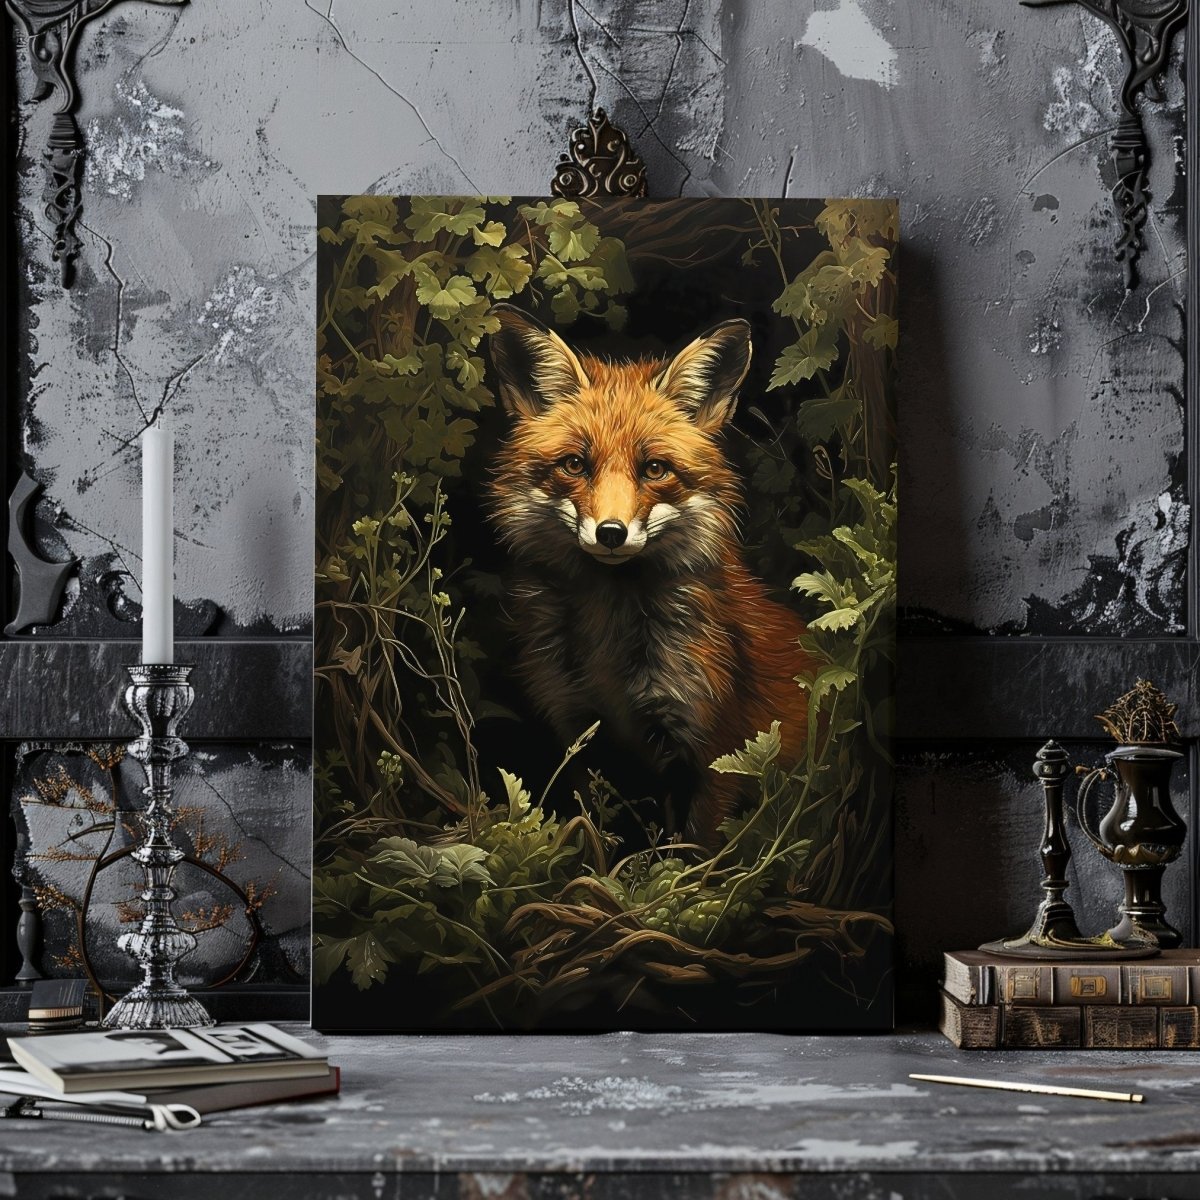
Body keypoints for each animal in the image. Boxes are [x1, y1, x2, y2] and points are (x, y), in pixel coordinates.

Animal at [485, 304, 813, 849]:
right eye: (575, 464)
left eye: (655, 469)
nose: (611, 533)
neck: (609, 638)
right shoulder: (581, 735)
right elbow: (595, 840)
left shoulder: (714, 752)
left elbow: (693, 854)